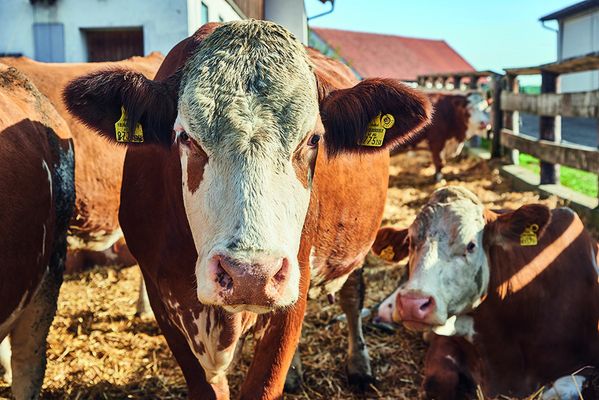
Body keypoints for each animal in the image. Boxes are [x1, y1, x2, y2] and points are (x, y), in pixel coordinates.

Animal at [64, 20, 432, 398]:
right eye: (185, 137)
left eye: (313, 139)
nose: (250, 275)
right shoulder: (161, 295)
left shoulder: (293, 293)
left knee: (351, 296)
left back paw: (359, 365)